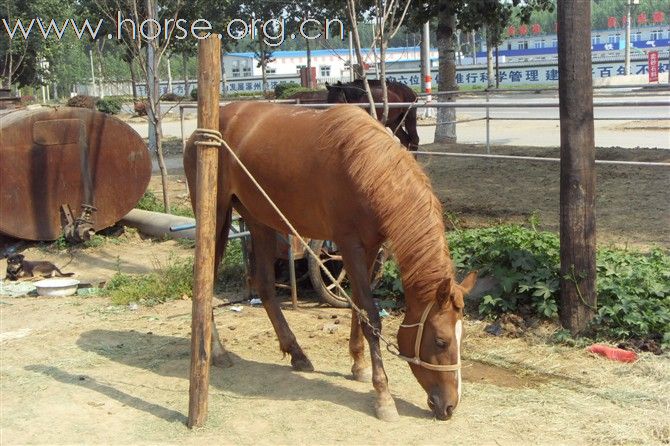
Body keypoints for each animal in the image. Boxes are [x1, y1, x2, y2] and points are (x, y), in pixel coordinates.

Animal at [184, 102, 478, 422]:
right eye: (441, 341)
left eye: (461, 339)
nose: (449, 406)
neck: (367, 168)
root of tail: (202, 131)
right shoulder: (349, 245)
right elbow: (370, 315)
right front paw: (383, 395)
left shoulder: (370, 248)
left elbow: (359, 308)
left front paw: (359, 365)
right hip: (216, 216)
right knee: (205, 281)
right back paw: (217, 352)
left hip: (258, 219)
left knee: (264, 285)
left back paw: (297, 353)